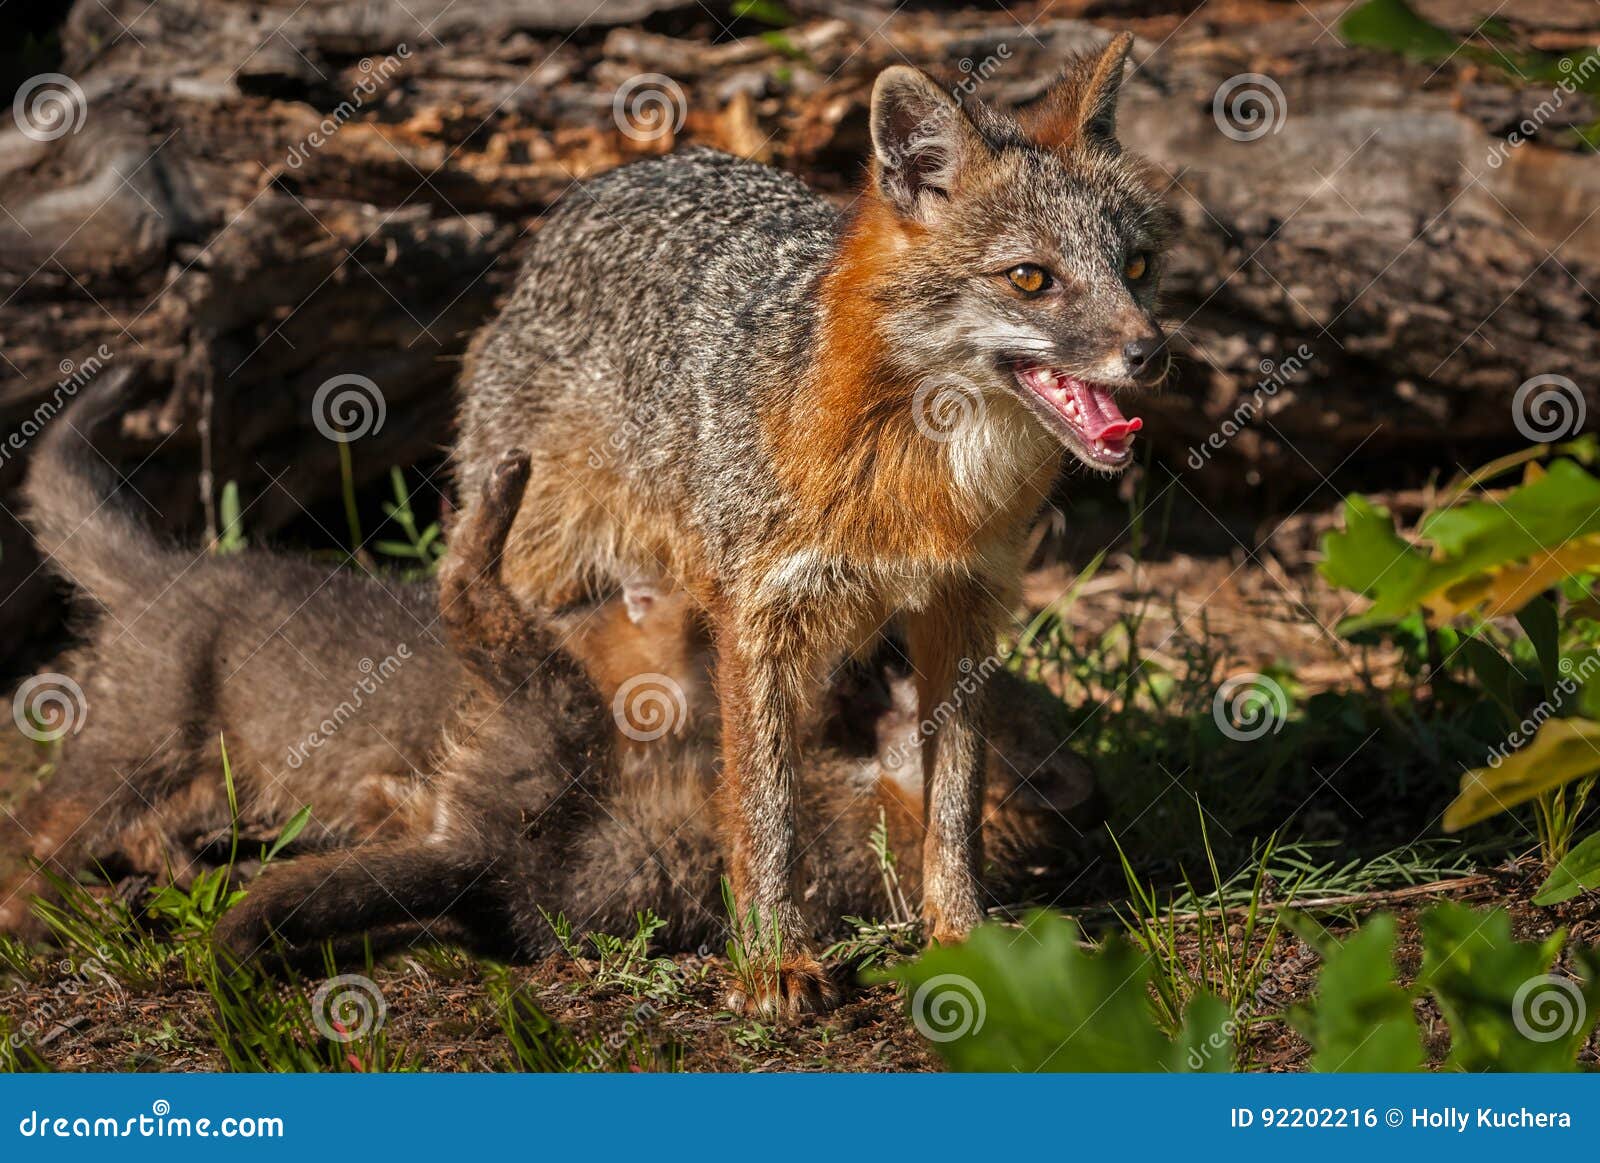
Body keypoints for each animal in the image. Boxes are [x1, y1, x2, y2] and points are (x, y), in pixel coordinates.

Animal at [451, 29, 1164, 1011]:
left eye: (1137, 267)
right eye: (1031, 278)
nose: (1152, 351)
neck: (917, 475)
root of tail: (622, 175)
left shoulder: (962, 610)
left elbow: (956, 804)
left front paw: (961, 931)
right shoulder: (759, 620)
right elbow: (767, 812)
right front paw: (774, 960)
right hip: (546, 561)